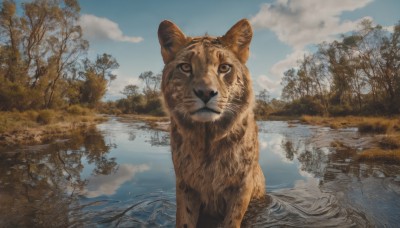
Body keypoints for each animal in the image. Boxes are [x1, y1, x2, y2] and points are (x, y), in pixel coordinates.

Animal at [157, 18, 266, 227]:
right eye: (185, 67)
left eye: (224, 68)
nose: (205, 93)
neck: (207, 137)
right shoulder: (185, 183)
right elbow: (184, 219)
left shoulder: (242, 184)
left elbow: (231, 221)